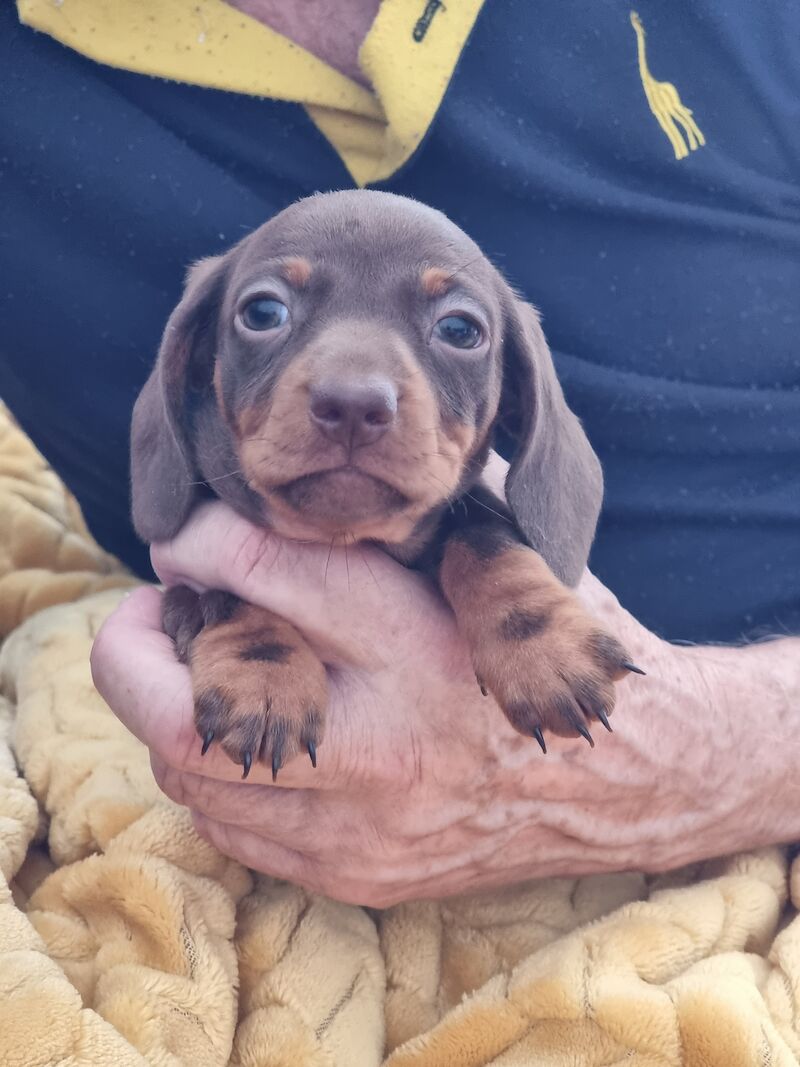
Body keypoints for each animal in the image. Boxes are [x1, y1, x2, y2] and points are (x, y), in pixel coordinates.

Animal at [134, 189, 644, 776]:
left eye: (460, 330)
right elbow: (223, 595)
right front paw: (264, 675)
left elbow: (487, 540)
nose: (353, 406)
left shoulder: (468, 512)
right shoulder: (181, 589)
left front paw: (544, 648)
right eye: (263, 313)